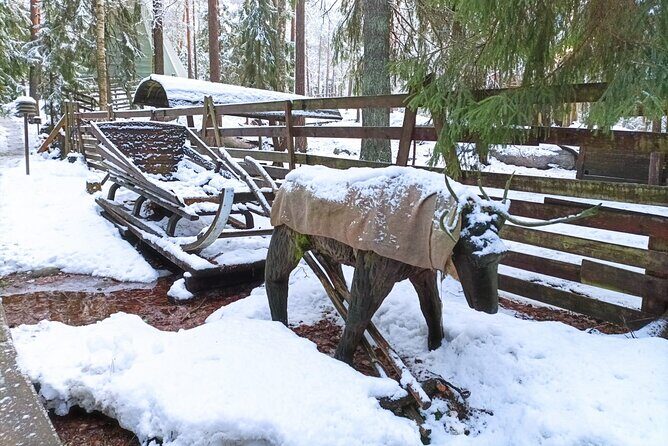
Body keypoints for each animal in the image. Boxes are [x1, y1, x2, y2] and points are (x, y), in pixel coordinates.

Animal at [265, 167, 600, 365]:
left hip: (326, 246)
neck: (431, 229)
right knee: (275, 277)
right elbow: (359, 318)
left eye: (502, 255)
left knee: (333, 275)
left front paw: (436, 346)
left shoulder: (422, 271)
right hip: (287, 236)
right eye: (473, 256)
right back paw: (280, 325)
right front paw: (342, 360)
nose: (490, 307)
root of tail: (285, 182)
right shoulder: (375, 267)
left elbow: (433, 309)